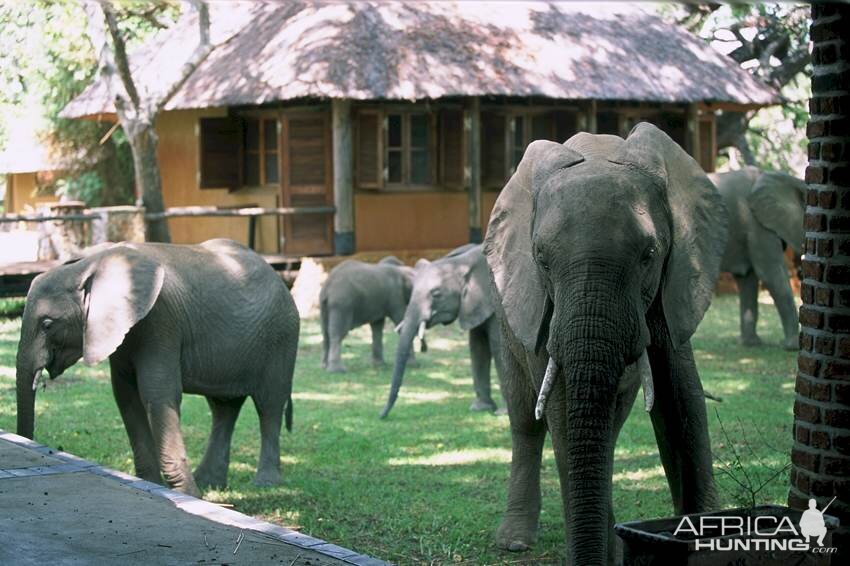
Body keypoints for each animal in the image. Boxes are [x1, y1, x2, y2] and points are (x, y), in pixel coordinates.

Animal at [14, 242, 302, 500]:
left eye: (47, 324)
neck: (92, 262)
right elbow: (126, 398)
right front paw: (153, 485)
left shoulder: (160, 322)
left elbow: (158, 394)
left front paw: (188, 496)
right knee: (224, 409)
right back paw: (209, 482)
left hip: (281, 337)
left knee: (269, 405)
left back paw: (264, 483)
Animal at [380, 245, 504, 422]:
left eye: (436, 294)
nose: (380, 416)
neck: (462, 262)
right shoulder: (474, 305)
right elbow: (477, 347)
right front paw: (481, 408)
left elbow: (499, 348)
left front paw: (502, 412)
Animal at [484, 123, 724, 564]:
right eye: (541, 258)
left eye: (649, 254)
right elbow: (561, 406)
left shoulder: (675, 283)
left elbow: (681, 400)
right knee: (525, 418)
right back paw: (514, 540)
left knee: (609, 424)